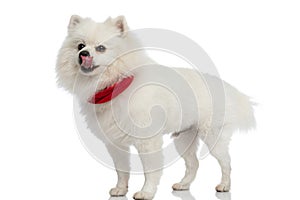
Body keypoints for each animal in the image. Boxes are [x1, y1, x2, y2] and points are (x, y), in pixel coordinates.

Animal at [55, 14, 255, 199]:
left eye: (101, 48)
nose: (83, 54)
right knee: (194, 164)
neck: (115, 84)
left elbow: (150, 170)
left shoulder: (147, 141)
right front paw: (120, 189)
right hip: (184, 138)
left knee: (226, 162)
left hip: (212, 136)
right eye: (80, 46)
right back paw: (183, 185)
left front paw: (146, 192)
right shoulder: (116, 144)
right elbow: (121, 170)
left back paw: (224, 185)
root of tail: (225, 88)